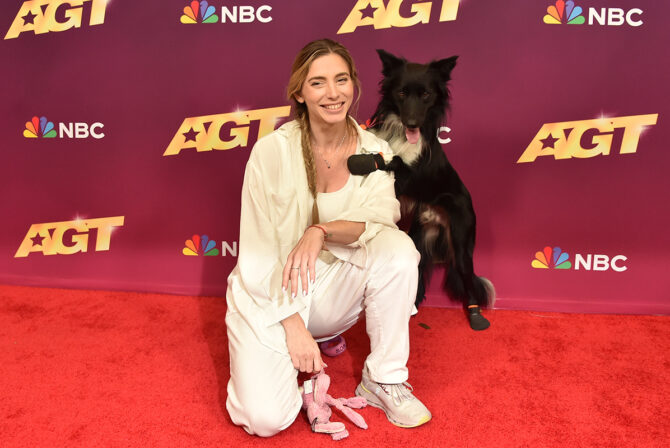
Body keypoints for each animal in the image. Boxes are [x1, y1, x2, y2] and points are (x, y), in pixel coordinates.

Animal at [352, 50, 494, 328]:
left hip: (462, 243)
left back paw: (475, 315)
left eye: (426, 94)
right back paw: (410, 308)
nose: (412, 122)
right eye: (401, 93)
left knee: (468, 278)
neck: (402, 134)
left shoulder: (408, 177)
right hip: (418, 236)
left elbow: (392, 162)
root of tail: (436, 217)